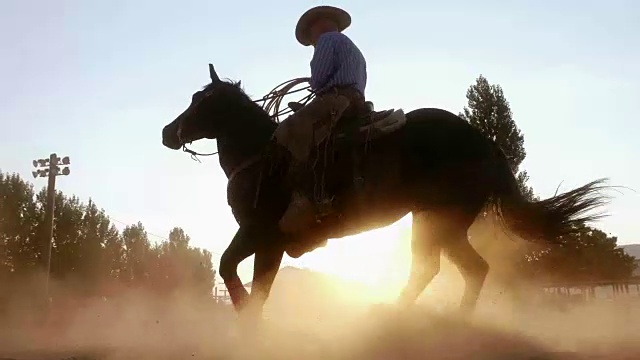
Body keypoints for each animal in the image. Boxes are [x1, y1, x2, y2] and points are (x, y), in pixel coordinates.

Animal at [161, 64, 608, 320]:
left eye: (200, 101)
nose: (168, 132)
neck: (261, 154)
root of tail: (486, 143)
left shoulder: (263, 234)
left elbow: (238, 274)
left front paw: (247, 319)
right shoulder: (264, 240)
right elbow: (248, 280)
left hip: (441, 220)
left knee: (444, 269)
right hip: (434, 220)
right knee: (462, 269)